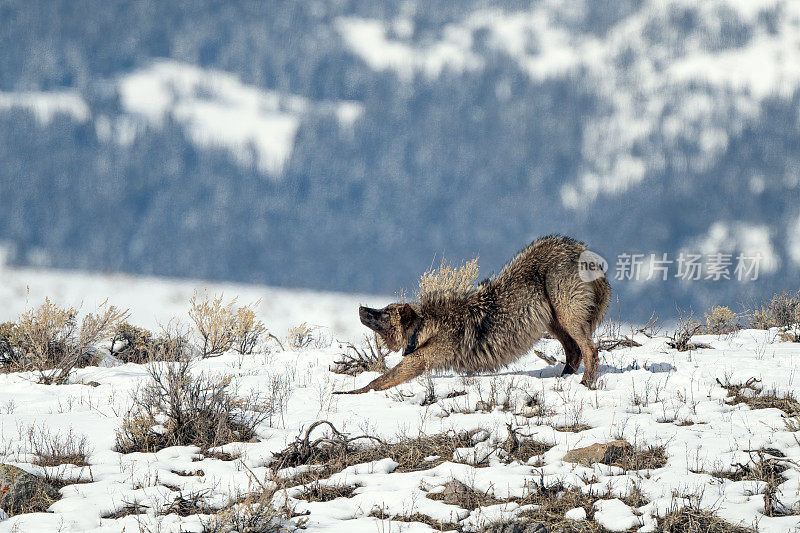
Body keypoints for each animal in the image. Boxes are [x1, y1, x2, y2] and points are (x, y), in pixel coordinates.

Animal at [336, 235, 608, 392]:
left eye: (383, 313)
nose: (361, 308)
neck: (428, 325)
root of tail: (579, 248)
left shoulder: (420, 359)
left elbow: (380, 380)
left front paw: (349, 393)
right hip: (553, 322)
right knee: (574, 352)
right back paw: (564, 379)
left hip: (566, 317)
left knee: (590, 350)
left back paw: (585, 383)